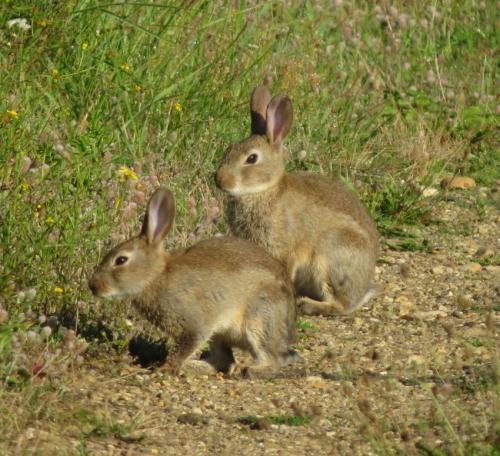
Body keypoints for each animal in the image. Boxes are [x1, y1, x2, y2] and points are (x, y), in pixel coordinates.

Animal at [88, 187, 298, 376]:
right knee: (224, 361)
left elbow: (184, 347)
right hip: (220, 336)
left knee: (271, 358)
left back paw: (248, 370)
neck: (156, 276)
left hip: (260, 318)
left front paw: (164, 369)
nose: (93, 286)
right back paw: (197, 366)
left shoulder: (193, 324)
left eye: (121, 260)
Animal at [216, 84, 378, 318]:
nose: (219, 179)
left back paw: (308, 305)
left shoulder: (285, 249)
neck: (264, 190)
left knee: (340, 305)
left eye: (252, 158)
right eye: (229, 148)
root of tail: (361, 291)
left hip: (330, 256)